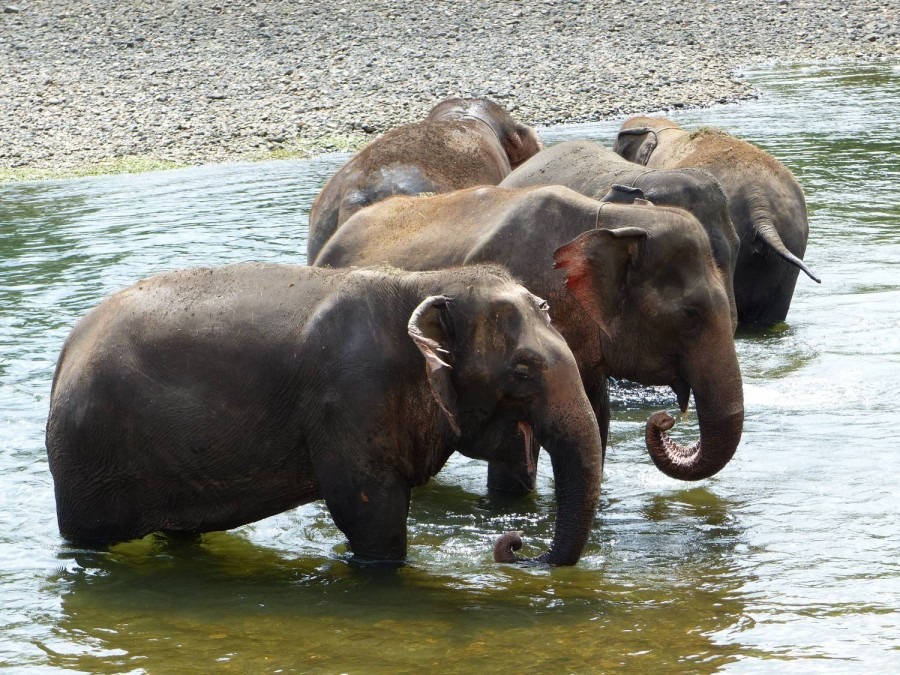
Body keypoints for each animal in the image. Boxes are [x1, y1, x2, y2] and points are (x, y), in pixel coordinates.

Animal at [45, 264, 603, 566]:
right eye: (522, 370)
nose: (514, 544)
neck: (426, 282)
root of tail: (67, 352)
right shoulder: (353, 395)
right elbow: (368, 510)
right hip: (89, 461)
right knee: (90, 539)